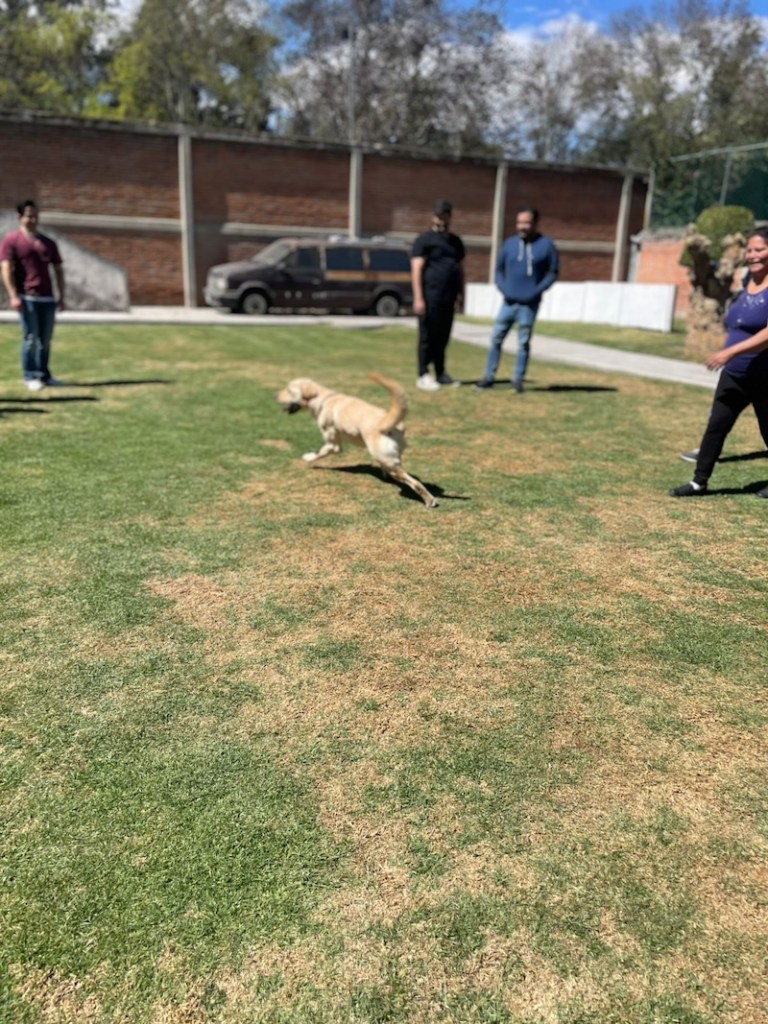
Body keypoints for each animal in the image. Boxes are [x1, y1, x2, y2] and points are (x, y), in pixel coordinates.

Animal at [276, 372, 438, 507]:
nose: (275, 395)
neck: (324, 399)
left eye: (289, 390)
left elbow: (319, 452)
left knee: (415, 483)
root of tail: (386, 422)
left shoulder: (333, 445)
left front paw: (308, 458)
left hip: (389, 463)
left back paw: (429, 500)